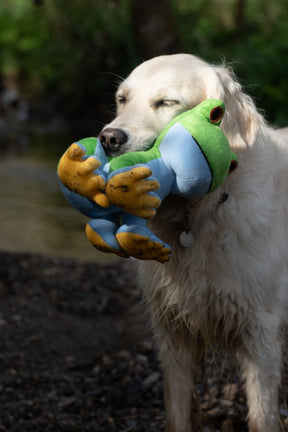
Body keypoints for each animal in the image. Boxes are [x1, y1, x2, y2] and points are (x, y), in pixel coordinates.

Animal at [100, 54, 286, 432]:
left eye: (166, 103)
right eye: (122, 99)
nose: (109, 138)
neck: (200, 214)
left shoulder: (262, 330)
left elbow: (262, 414)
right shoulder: (173, 332)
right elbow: (178, 409)